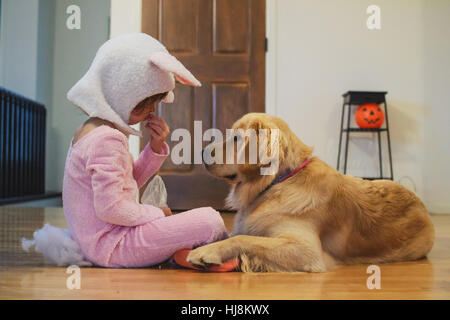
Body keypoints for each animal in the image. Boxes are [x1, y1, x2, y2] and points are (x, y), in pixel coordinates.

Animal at [185, 114, 432, 272]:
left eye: (236, 138)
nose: (202, 152)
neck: (279, 182)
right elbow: (232, 234)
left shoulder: (306, 250)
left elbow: (245, 238)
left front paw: (206, 253)